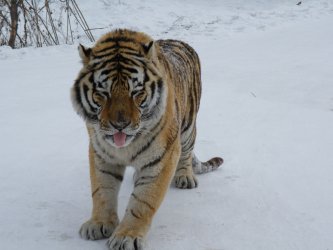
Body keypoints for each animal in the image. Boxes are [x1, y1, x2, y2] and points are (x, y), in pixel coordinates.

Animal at [71, 29, 224, 250]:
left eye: (137, 93)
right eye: (102, 93)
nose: (120, 125)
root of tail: (180, 42)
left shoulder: (163, 156)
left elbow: (143, 201)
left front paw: (126, 236)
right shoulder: (101, 153)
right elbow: (102, 190)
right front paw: (99, 223)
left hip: (187, 127)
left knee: (186, 153)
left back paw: (185, 177)